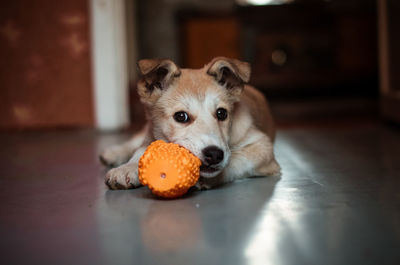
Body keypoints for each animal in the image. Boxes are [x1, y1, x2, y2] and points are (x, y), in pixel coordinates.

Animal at [101, 56, 282, 189]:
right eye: (181, 116)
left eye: (222, 113)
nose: (214, 154)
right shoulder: (152, 134)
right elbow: (141, 151)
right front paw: (126, 168)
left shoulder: (263, 146)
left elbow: (235, 159)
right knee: (134, 140)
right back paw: (112, 153)